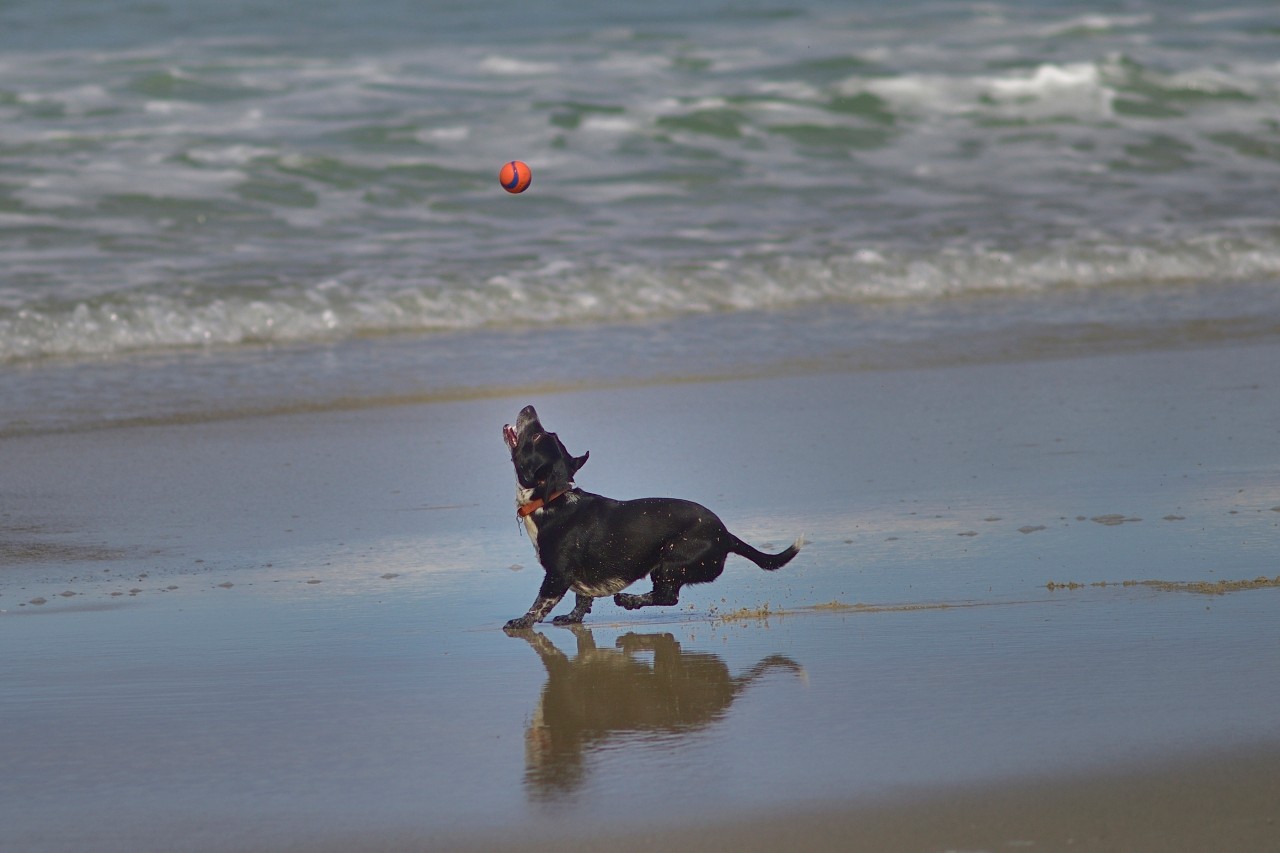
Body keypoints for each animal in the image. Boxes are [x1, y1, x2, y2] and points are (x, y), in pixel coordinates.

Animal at [499, 404, 798, 630]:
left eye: (537, 438)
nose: (530, 407)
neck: (551, 501)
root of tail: (726, 535)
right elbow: (582, 600)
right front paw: (572, 618)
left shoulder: (557, 575)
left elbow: (540, 604)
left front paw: (521, 622)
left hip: (671, 561)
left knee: (668, 597)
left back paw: (629, 600)